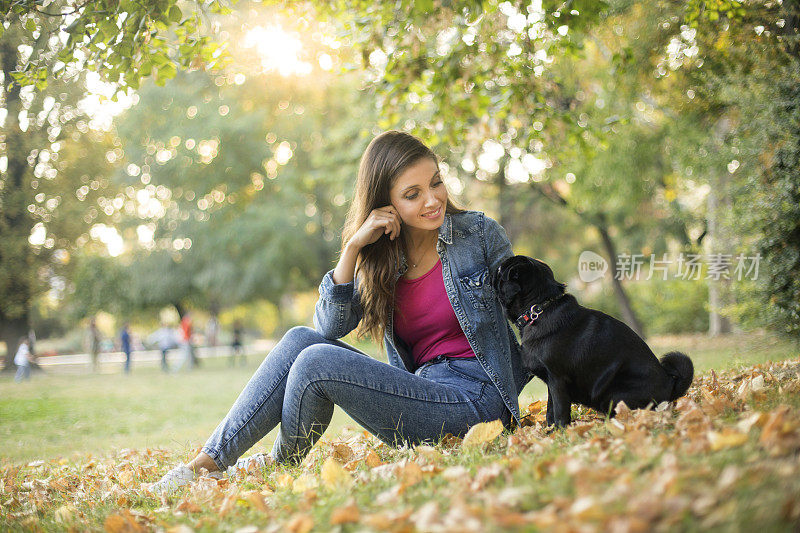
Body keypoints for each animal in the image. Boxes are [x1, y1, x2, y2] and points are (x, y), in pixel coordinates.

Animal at [490, 255, 692, 428]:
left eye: (500, 269)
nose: (493, 268)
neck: (539, 308)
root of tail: (670, 386)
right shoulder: (550, 383)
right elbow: (550, 410)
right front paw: (549, 432)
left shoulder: (557, 380)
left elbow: (560, 411)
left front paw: (561, 433)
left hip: (613, 393)